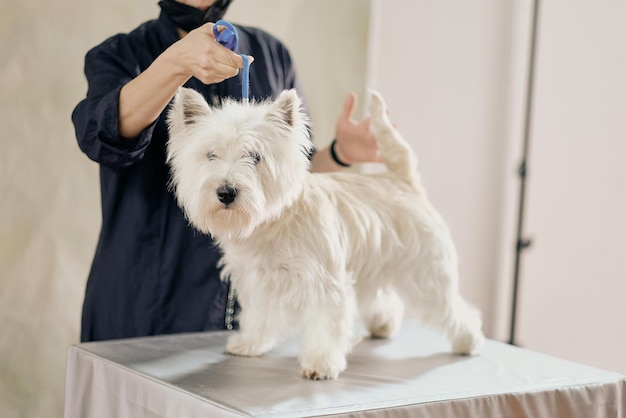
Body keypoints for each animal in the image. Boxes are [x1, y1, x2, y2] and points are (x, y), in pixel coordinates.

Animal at [166, 87, 482, 378]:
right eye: (211, 154)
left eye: (255, 156)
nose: (226, 192)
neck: (274, 222)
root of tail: (403, 181)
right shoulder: (258, 280)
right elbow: (259, 315)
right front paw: (250, 344)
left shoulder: (324, 281)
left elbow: (326, 324)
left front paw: (321, 364)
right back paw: (383, 325)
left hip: (426, 271)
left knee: (454, 308)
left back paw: (470, 342)